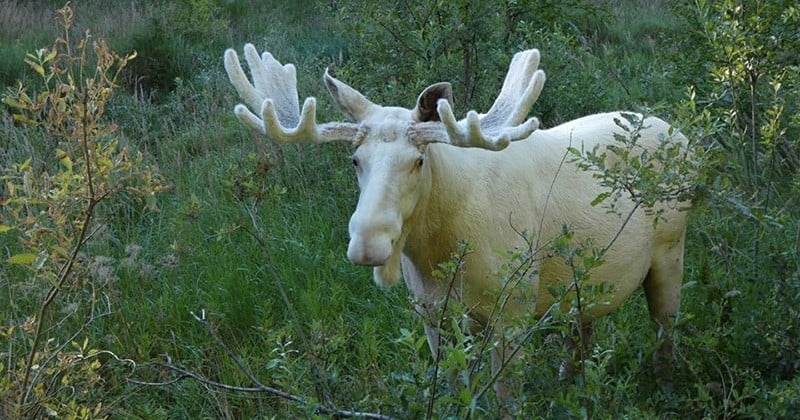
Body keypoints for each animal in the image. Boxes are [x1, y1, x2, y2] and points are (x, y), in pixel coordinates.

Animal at [223, 44, 688, 396]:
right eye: (355, 159)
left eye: (417, 160)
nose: (369, 244)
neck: (438, 252)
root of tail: (682, 135)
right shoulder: (430, 313)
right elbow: (447, 385)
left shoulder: (513, 310)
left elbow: (505, 399)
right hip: (583, 286)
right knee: (582, 335)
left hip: (671, 251)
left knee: (665, 333)